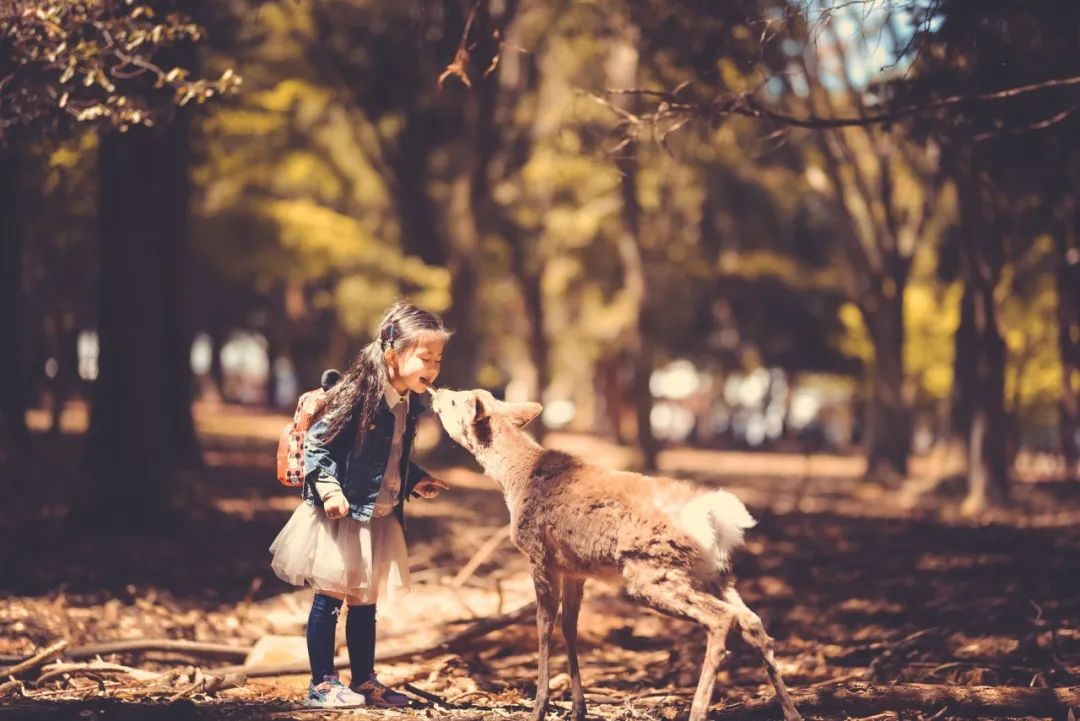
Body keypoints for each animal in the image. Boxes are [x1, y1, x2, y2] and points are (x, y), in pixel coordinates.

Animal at [427, 388, 803, 721]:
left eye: (457, 400)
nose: (436, 391)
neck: (514, 480)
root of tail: (716, 518)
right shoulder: (574, 569)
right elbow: (570, 626)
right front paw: (578, 709)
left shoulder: (538, 554)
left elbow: (544, 626)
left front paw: (539, 708)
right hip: (715, 573)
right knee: (752, 621)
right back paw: (791, 710)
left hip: (653, 571)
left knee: (723, 619)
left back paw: (697, 711)